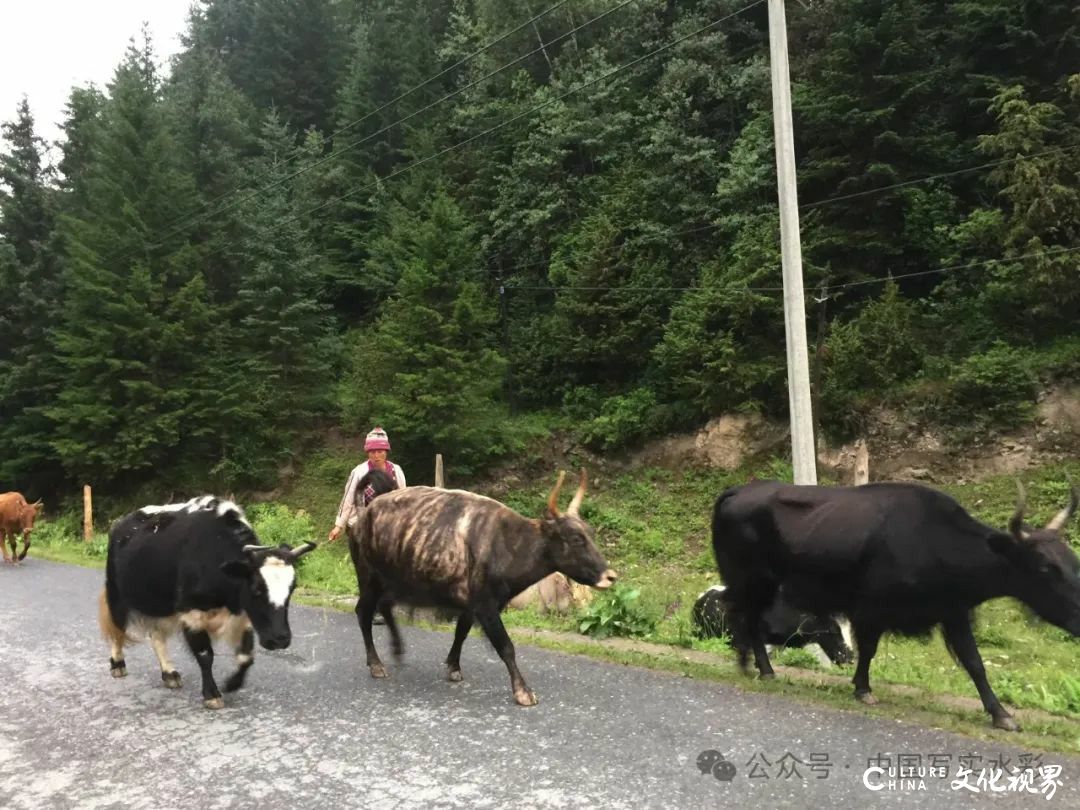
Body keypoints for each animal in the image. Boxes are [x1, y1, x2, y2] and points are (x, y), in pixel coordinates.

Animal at [97, 494, 317, 708]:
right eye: (256, 589)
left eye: (292, 588)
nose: (280, 639)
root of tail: (121, 525)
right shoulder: (191, 612)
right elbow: (205, 655)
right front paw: (212, 694)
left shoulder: (241, 616)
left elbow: (246, 655)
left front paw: (232, 684)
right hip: (116, 595)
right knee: (117, 630)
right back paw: (118, 665)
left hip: (158, 604)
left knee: (156, 636)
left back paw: (169, 674)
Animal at [345, 473, 617, 708]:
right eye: (576, 539)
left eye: (590, 534)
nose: (610, 576)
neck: (509, 544)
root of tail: (365, 512)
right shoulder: (485, 605)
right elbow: (505, 646)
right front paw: (523, 691)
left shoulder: (473, 605)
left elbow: (461, 633)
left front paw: (453, 667)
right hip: (369, 579)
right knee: (364, 612)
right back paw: (376, 664)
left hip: (394, 582)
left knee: (385, 606)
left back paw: (397, 649)